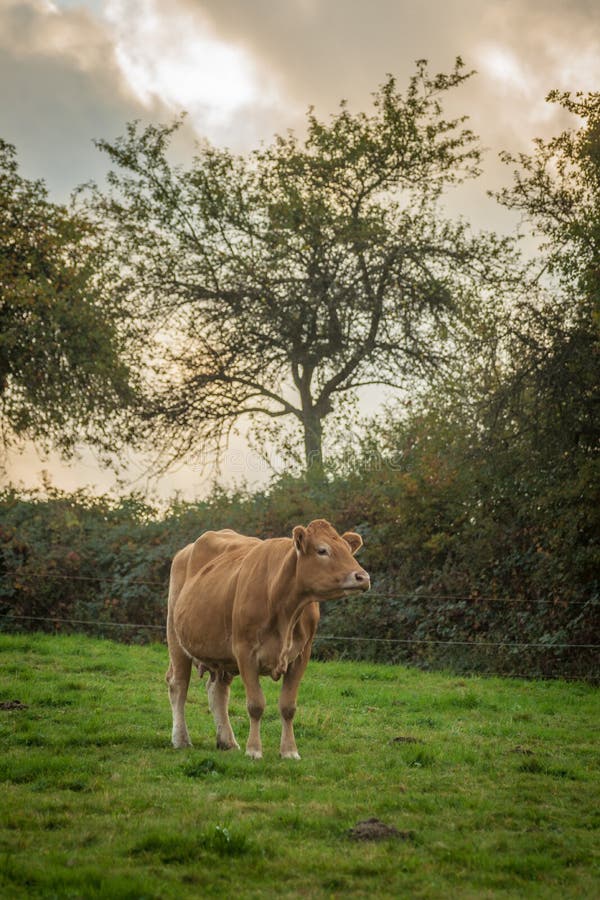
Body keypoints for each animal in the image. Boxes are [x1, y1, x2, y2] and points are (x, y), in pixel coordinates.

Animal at [165, 520, 370, 760]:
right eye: (322, 550)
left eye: (348, 550)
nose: (363, 577)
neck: (285, 607)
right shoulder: (245, 652)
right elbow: (256, 705)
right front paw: (254, 749)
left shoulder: (301, 656)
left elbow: (288, 707)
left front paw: (289, 750)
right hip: (176, 638)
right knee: (178, 685)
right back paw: (181, 739)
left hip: (222, 655)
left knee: (218, 692)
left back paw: (227, 741)